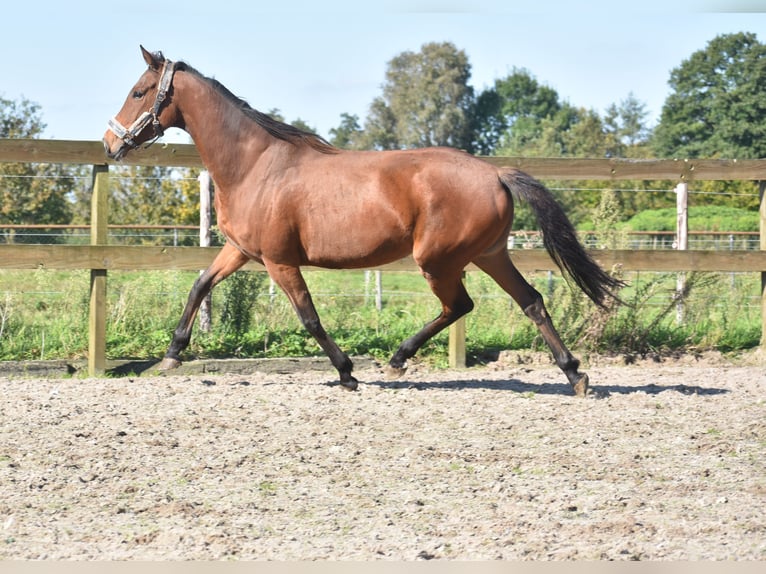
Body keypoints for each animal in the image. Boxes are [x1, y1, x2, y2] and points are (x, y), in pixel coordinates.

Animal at [103, 47, 624, 398]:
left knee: (459, 305)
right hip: (489, 254)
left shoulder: (279, 261)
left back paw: (397, 360)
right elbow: (199, 285)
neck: (256, 166)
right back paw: (575, 373)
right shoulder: (241, 251)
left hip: (439, 260)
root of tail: (495, 172)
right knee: (530, 301)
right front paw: (172, 355)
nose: (110, 144)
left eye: (138, 91)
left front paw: (347, 373)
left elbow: (309, 317)